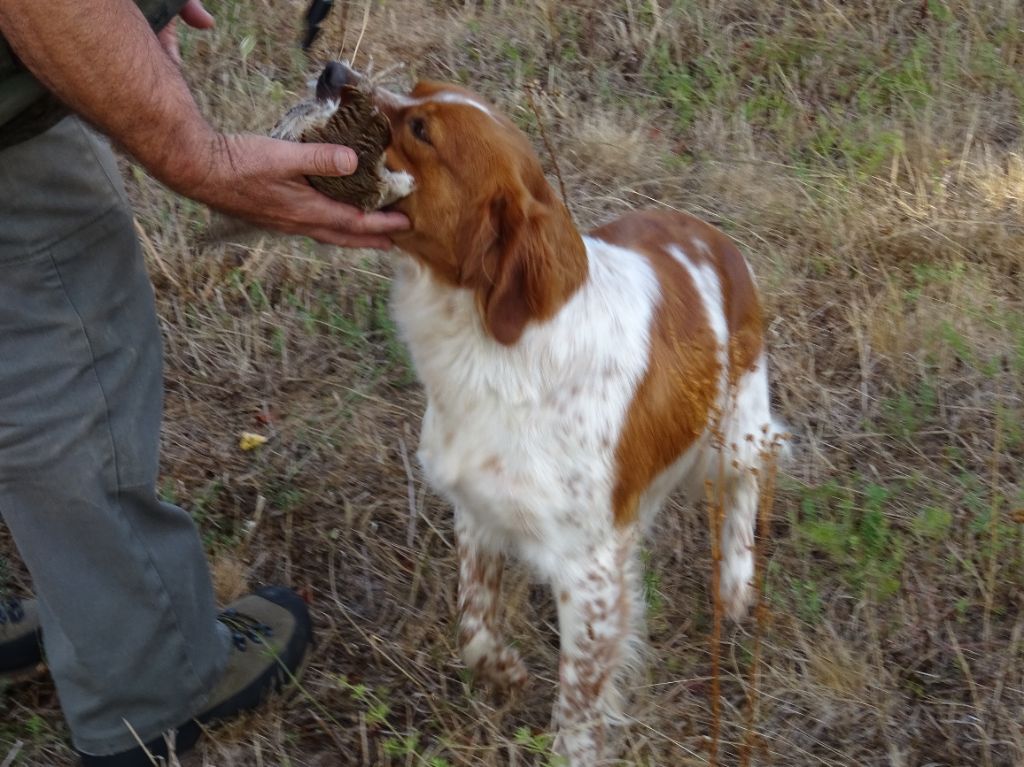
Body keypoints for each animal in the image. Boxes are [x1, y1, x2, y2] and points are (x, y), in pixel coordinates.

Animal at [319, 61, 782, 765]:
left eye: (421, 129)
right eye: (419, 91)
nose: (331, 70)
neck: (490, 344)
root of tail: (714, 235)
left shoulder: (590, 569)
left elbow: (580, 703)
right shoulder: (478, 510)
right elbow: (474, 621)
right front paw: (504, 671)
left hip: (737, 427)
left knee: (746, 484)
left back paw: (734, 583)